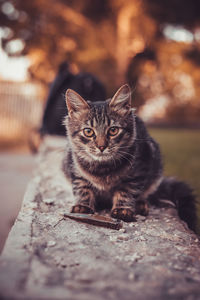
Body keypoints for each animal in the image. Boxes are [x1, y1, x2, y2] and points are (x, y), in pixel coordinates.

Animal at [63, 85, 196, 232]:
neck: (103, 168)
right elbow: (83, 188)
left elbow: (126, 192)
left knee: (144, 195)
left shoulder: (137, 171)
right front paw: (83, 206)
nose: (102, 146)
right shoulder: (75, 170)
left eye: (113, 130)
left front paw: (123, 210)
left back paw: (141, 205)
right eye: (88, 132)